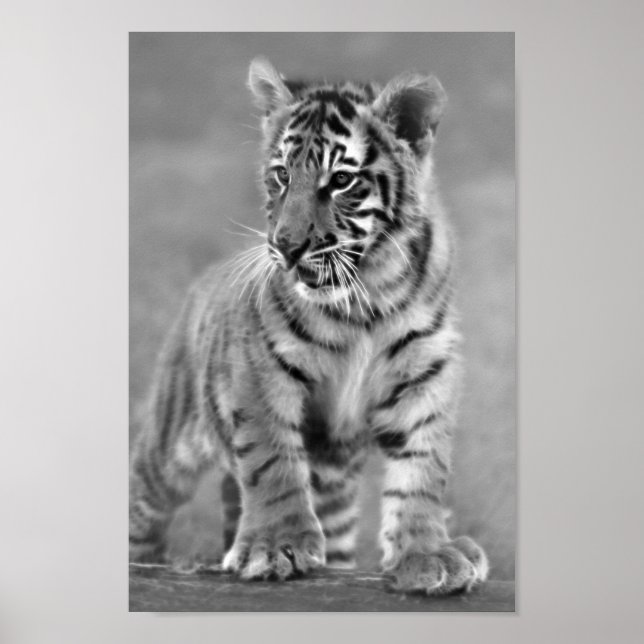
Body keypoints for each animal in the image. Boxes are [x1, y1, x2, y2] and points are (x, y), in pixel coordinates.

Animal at [129, 56, 489, 595]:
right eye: (281, 175)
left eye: (340, 181)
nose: (286, 246)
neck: (367, 295)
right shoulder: (260, 370)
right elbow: (271, 458)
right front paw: (274, 545)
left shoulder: (426, 371)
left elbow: (422, 471)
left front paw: (427, 553)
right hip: (168, 445)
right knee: (142, 501)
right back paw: (144, 564)